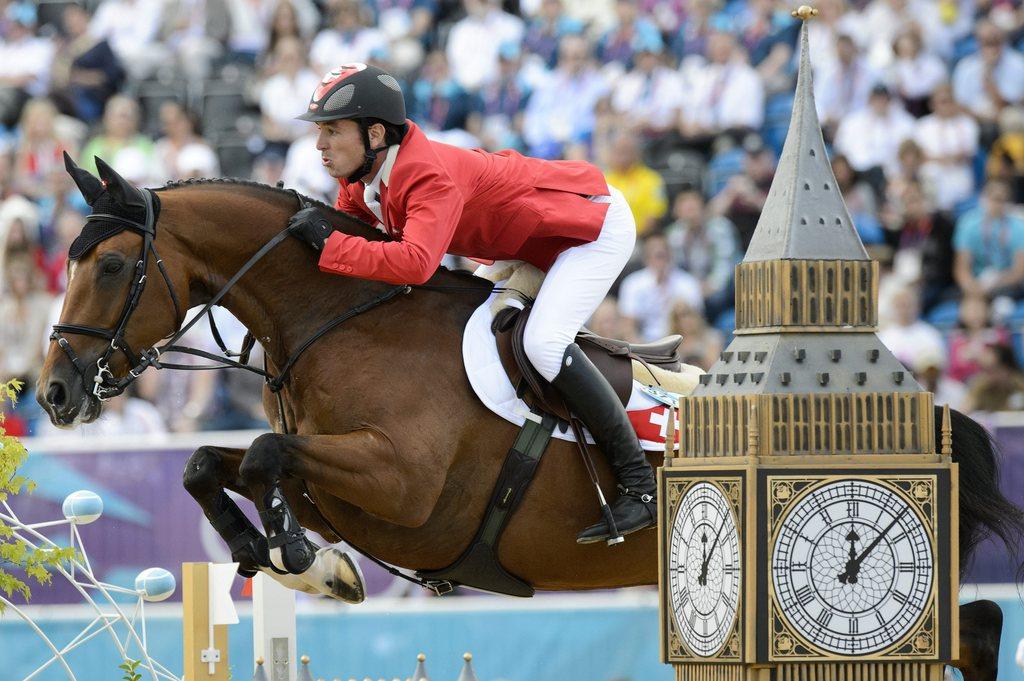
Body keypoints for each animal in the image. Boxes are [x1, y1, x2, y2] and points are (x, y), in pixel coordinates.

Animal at [36, 155, 1019, 639]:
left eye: (113, 265)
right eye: (72, 260)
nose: (51, 392)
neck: (338, 316)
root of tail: (928, 423)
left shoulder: (404, 485)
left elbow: (268, 459)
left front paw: (296, 553)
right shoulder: (343, 480)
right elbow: (210, 462)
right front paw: (296, 558)